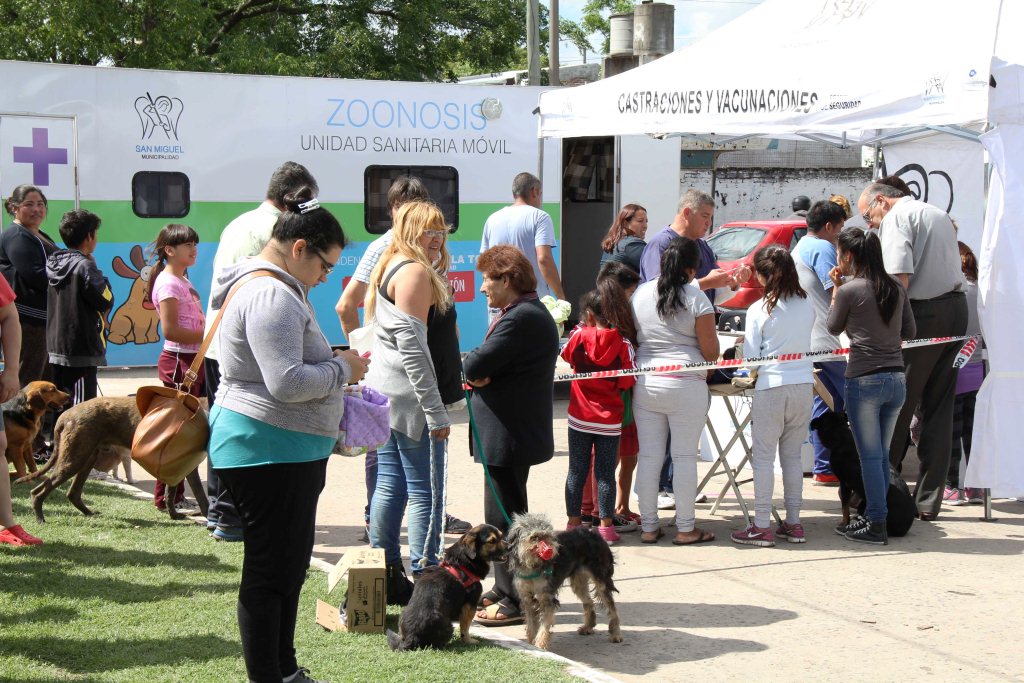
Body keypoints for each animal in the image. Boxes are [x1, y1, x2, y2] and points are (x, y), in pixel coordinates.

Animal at [18, 395, 209, 524]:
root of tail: (65, 416)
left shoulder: (179, 465)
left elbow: (173, 493)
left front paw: (175, 516)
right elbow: (200, 495)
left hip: (87, 457)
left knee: (72, 493)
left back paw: (88, 513)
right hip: (74, 458)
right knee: (38, 492)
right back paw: (40, 519)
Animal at [505, 511, 618, 651]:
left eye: (548, 536)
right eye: (535, 537)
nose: (551, 549)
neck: (531, 567)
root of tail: (595, 534)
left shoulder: (546, 599)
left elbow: (544, 626)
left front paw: (540, 645)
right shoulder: (527, 599)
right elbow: (531, 626)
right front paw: (530, 643)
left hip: (601, 580)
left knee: (612, 607)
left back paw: (616, 635)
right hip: (578, 583)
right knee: (589, 601)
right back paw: (588, 627)